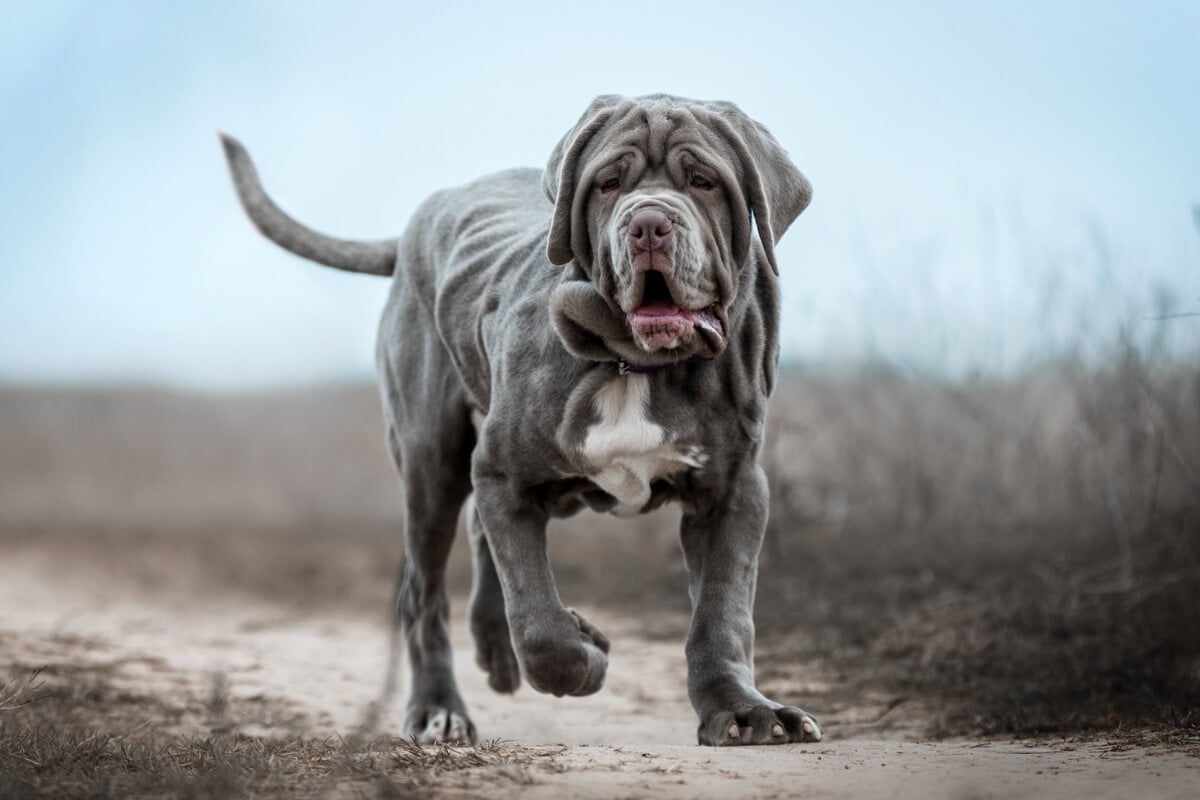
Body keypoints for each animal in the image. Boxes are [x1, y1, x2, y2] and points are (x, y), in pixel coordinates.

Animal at [220, 92, 825, 743]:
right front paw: (585, 653)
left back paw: (492, 651)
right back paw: (438, 708)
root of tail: (420, 218)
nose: (647, 225)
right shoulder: (504, 473)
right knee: (425, 592)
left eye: (704, 181)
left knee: (480, 540)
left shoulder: (733, 490)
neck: (635, 363)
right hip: (432, 463)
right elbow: (538, 624)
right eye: (608, 183)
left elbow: (722, 613)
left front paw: (742, 709)